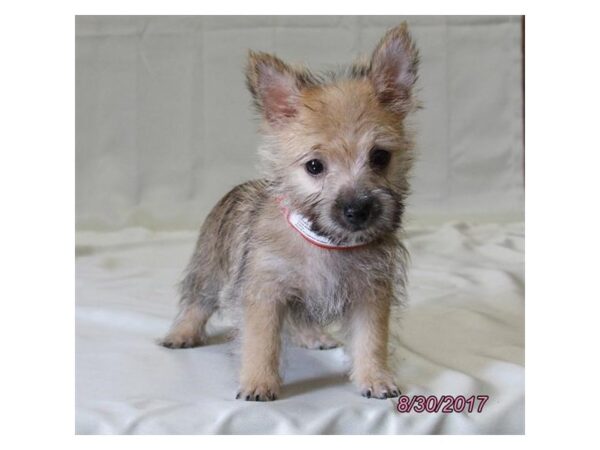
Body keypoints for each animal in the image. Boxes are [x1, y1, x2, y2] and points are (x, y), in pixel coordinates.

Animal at [162, 22, 420, 400]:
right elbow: (261, 342)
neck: (326, 242)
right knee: (197, 301)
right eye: (314, 166)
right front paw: (258, 382)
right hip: (209, 268)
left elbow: (371, 341)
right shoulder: (265, 292)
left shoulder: (371, 294)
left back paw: (314, 336)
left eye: (380, 157)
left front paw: (374, 378)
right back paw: (181, 334)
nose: (358, 209)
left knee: (301, 317)